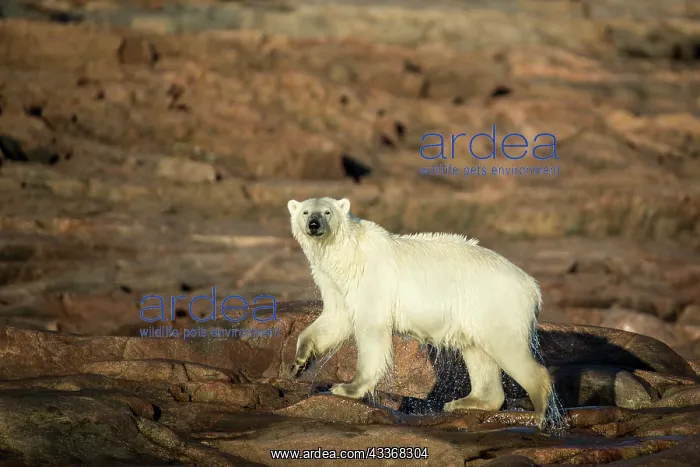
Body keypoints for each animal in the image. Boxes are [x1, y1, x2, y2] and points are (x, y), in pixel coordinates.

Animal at [286, 196, 553, 428]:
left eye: (327, 212)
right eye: (306, 212)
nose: (314, 225)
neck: (348, 254)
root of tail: (533, 286)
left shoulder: (371, 280)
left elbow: (371, 331)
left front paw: (347, 388)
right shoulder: (336, 284)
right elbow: (335, 319)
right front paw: (299, 362)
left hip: (496, 303)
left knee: (506, 347)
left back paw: (539, 411)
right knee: (477, 352)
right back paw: (465, 402)